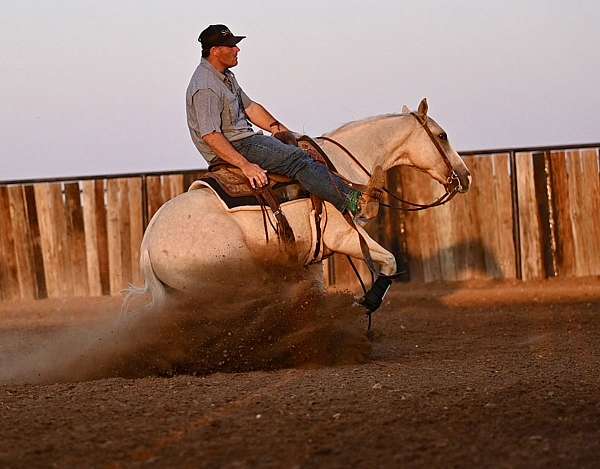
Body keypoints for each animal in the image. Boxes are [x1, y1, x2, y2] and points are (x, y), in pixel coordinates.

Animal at [125, 98, 474, 310]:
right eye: (442, 135)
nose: (465, 176)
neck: (337, 169)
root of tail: (147, 243)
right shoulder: (344, 237)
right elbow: (388, 261)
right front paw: (367, 303)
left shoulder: (312, 256)